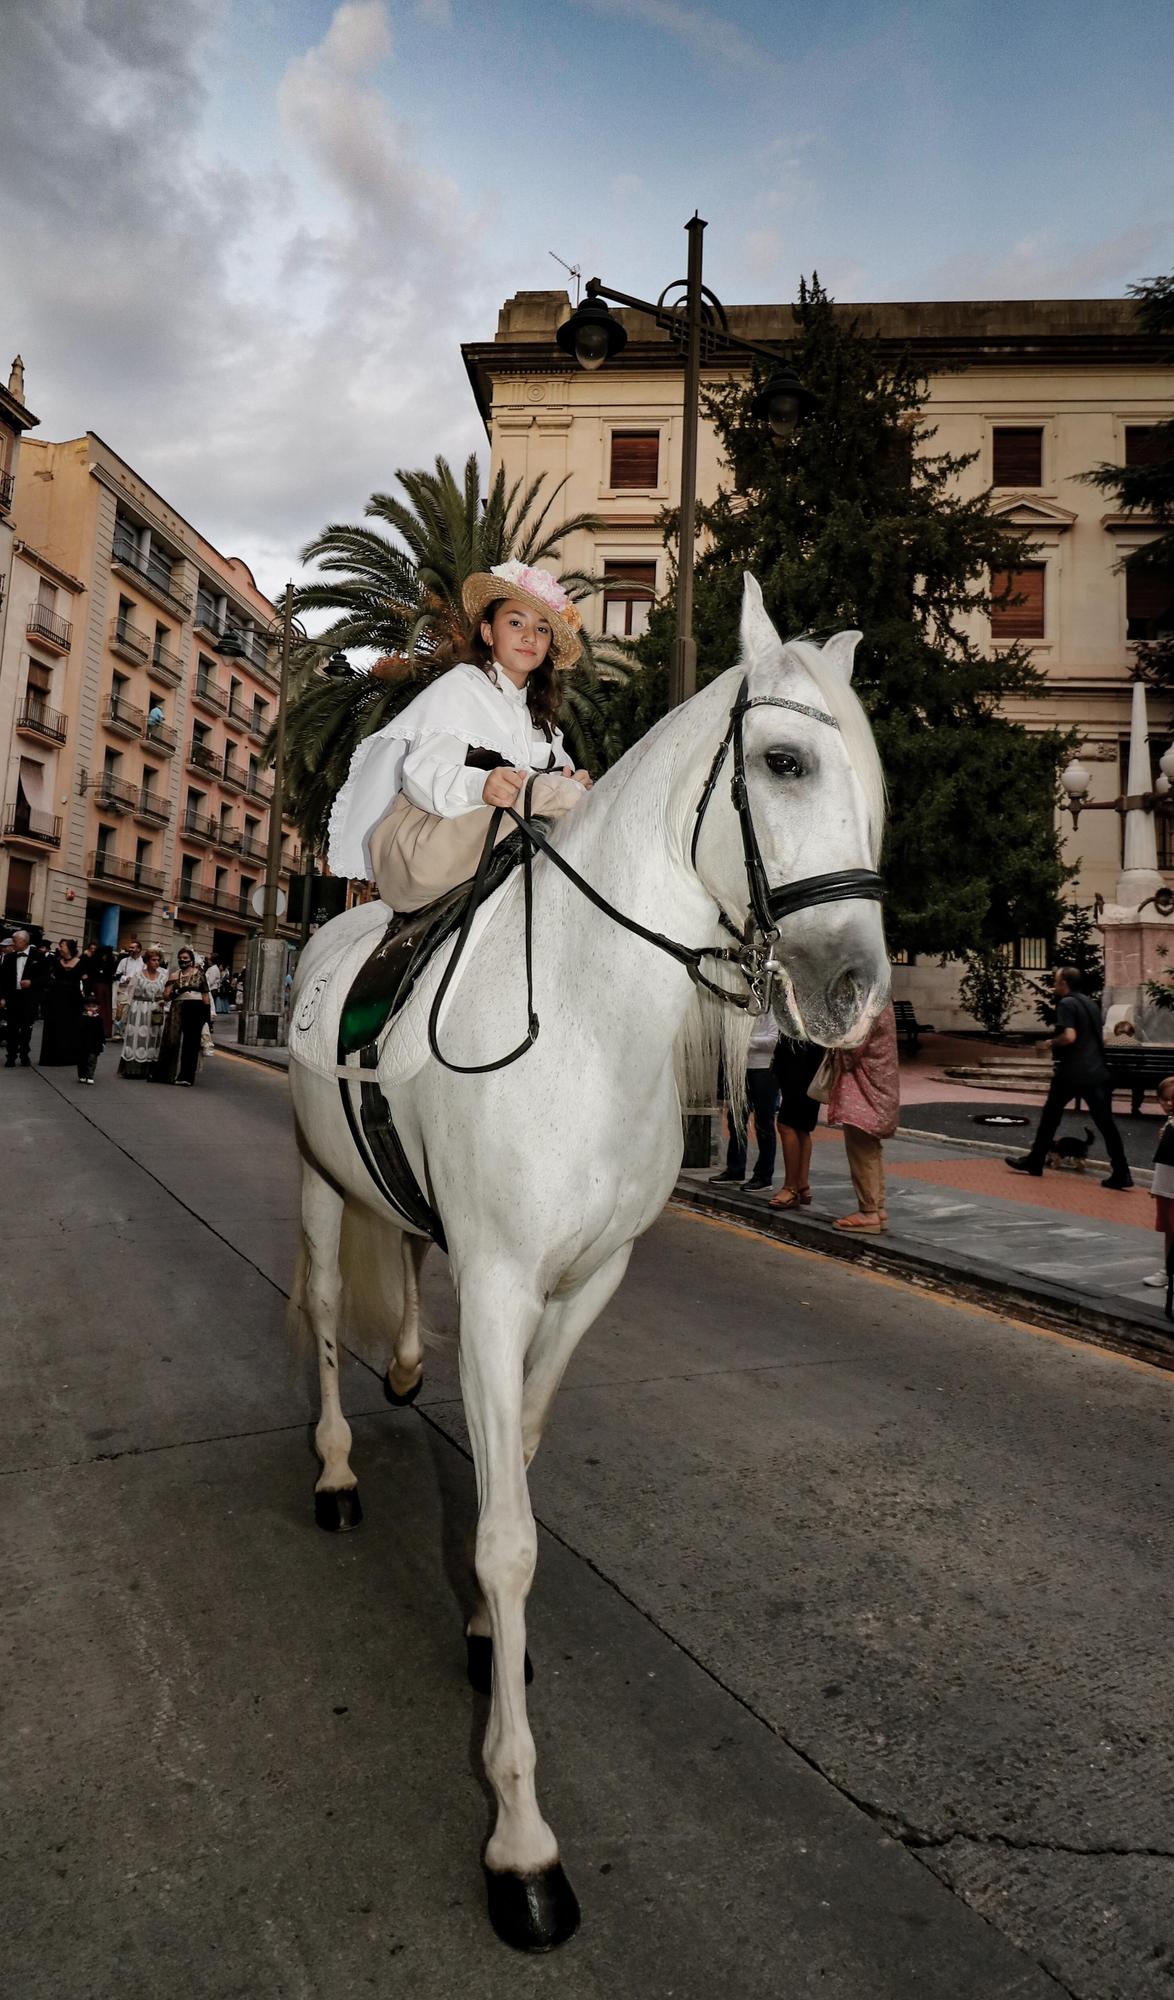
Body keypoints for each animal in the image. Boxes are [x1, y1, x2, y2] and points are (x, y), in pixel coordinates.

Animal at [290, 580, 888, 1952]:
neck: (584, 1017)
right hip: (316, 1183)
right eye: (785, 762)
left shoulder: (585, 1283)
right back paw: (337, 1468)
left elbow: (517, 1458)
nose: (855, 989)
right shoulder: (505, 1281)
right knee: (322, 1311)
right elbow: (510, 1537)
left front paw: (479, 1625)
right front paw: (521, 1841)